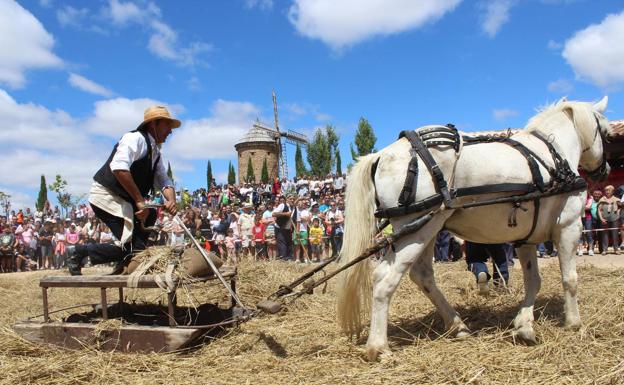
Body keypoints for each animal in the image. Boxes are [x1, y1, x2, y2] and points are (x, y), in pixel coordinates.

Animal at [336, 97, 616, 360]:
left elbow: (533, 281)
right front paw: (574, 323)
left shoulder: (525, 239)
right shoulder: (569, 227)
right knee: (385, 280)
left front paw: (524, 325)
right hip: (417, 229)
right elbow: (570, 279)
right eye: (606, 134)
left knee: (422, 275)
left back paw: (457, 326)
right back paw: (378, 347)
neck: (552, 156)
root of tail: (382, 154)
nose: (605, 170)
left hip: (427, 229)